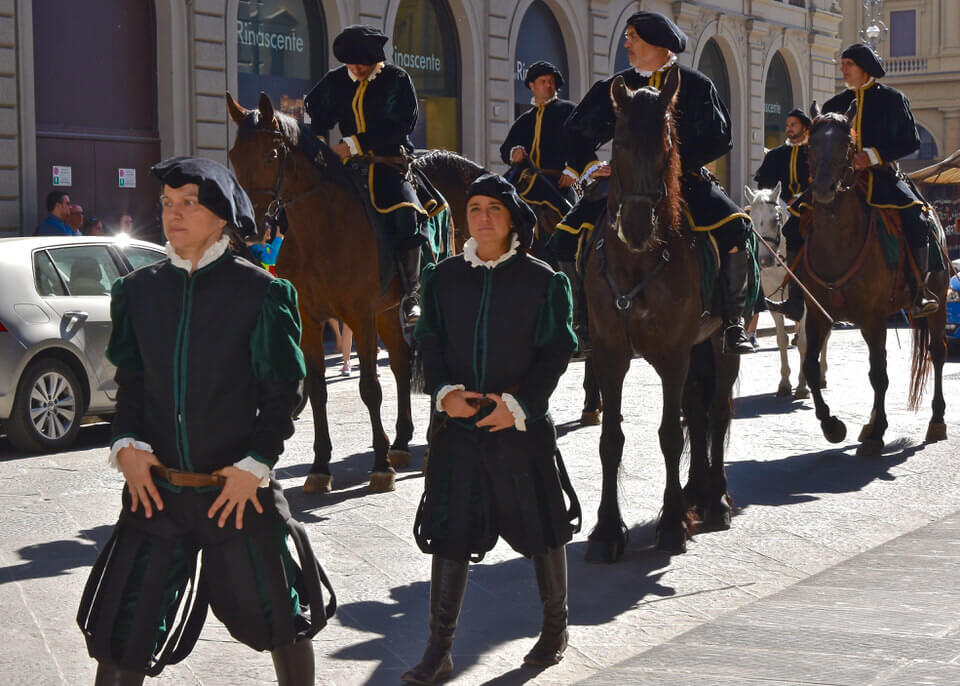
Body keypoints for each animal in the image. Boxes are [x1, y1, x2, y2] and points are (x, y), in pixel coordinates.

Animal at [227, 94, 488, 498]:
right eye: (233, 156)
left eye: (270, 156)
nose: (246, 229)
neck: (323, 229)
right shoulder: (311, 319)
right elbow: (318, 389)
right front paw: (320, 467)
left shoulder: (361, 316)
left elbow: (369, 388)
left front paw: (380, 466)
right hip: (389, 311)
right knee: (400, 362)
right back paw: (402, 442)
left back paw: (425, 446)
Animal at [580, 64, 740, 560]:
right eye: (619, 143)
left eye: (669, 143)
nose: (635, 227)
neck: (637, 263)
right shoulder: (609, 354)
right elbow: (610, 439)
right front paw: (607, 529)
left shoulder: (672, 355)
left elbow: (670, 434)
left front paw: (671, 524)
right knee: (697, 412)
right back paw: (695, 490)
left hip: (720, 345)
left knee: (717, 412)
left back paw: (716, 499)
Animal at [744, 183, 824, 400]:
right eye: (752, 219)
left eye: (776, 219)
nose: (764, 261)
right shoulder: (775, 305)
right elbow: (781, 340)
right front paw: (785, 384)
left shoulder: (806, 303)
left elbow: (804, 342)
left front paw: (803, 386)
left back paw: (822, 376)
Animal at [796, 103, 944, 456]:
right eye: (810, 145)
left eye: (847, 144)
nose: (823, 189)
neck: (837, 241)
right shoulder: (819, 313)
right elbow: (811, 367)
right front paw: (832, 425)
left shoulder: (873, 317)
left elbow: (879, 375)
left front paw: (877, 434)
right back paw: (870, 423)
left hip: (939, 300)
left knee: (938, 354)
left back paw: (936, 421)